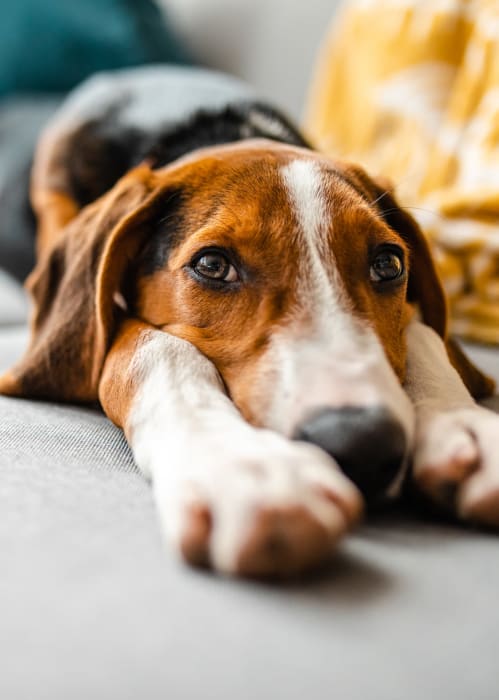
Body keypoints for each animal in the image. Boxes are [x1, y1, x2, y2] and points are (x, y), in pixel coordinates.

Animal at [0, 68, 499, 576]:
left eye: (389, 264)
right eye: (213, 265)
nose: (362, 442)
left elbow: (423, 333)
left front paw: (461, 421)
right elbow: (156, 348)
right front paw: (242, 465)